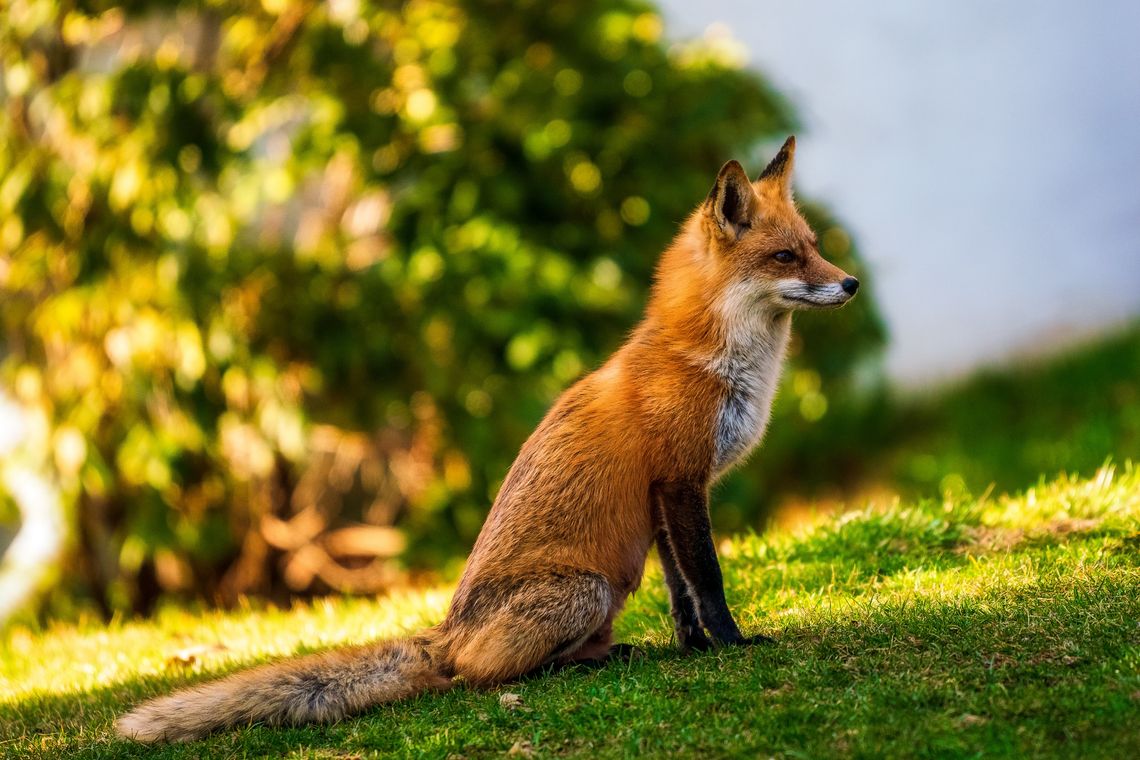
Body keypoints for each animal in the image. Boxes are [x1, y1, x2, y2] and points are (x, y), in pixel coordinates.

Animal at [117, 136, 857, 742]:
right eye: (786, 256)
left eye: (815, 245)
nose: (849, 283)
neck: (708, 360)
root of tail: (446, 633)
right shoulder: (680, 482)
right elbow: (709, 578)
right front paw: (732, 645)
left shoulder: (664, 496)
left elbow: (681, 594)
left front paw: (695, 648)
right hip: (587, 590)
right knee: (476, 677)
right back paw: (568, 670)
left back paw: (611, 654)